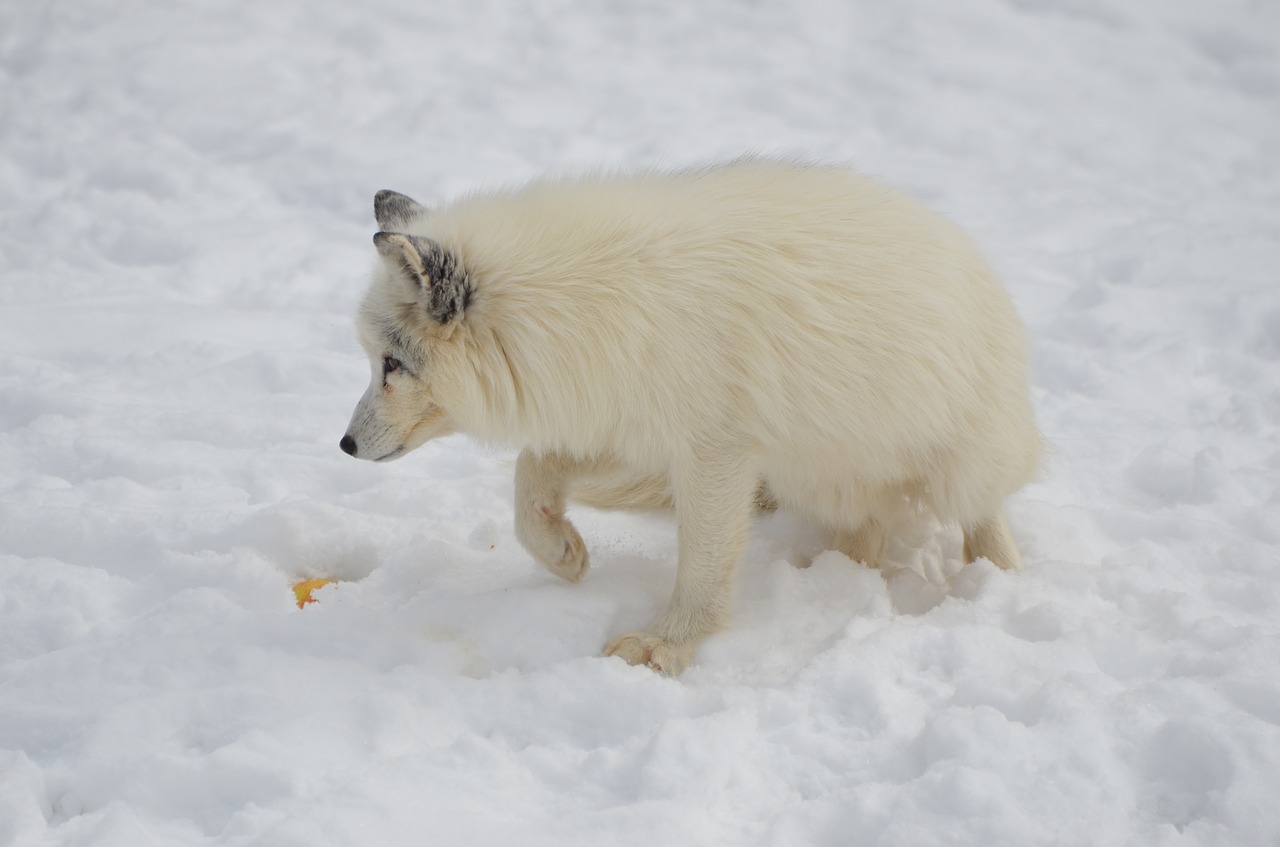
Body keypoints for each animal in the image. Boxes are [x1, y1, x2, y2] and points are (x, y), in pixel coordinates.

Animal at [340, 157, 1039, 675]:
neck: (587, 304)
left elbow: (701, 565)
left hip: (953, 465)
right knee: (863, 535)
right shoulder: (631, 429)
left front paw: (666, 646)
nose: (344, 445)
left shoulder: (714, 450)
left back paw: (1001, 581)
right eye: (374, 360)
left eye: (391, 364)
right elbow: (531, 472)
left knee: (982, 516)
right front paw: (561, 551)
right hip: (820, 473)